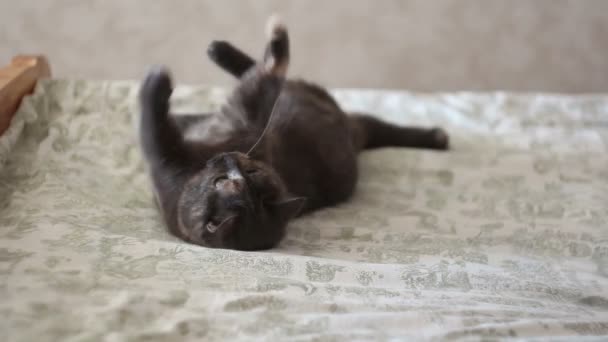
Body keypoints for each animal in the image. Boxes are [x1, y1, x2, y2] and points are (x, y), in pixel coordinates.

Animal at [140, 16, 448, 251]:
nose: (230, 158)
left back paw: (222, 49)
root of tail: (351, 138)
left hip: (315, 98)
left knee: (264, 74)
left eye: (247, 173)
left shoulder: (211, 137)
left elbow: (152, 125)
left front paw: (156, 81)